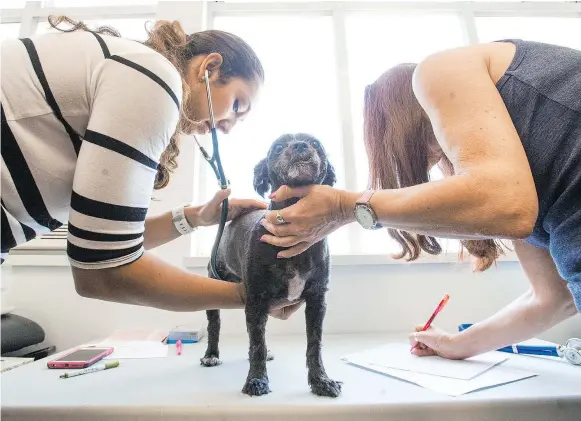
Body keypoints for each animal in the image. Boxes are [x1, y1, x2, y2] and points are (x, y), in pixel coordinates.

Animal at [202, 132, 342, 398]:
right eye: (277, 147)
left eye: (315, 143)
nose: (300, 146)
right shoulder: (256, 300)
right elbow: (256, 343)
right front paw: (256, 380)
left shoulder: (317, 300)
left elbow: (314, 345)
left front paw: (321, 380)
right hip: (214, 285)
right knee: (215, 326)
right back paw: (211, 355)